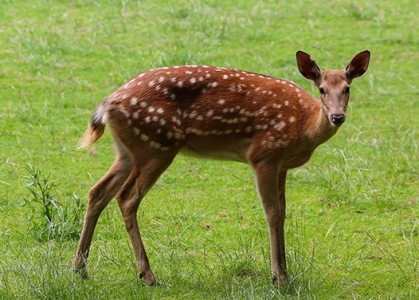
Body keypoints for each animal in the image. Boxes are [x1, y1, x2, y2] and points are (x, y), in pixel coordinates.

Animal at [73, 49, 370, 286]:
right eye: (321, 89)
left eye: (347, 88)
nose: (337, 116)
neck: (303, 127)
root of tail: (108, 103)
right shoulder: (263, 155)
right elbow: (272, 214)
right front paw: (279, 277)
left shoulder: (282, 165)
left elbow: (283, 213)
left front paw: (284, 272)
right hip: (157, 146)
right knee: (126, 197)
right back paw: (147, 275)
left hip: (127, 151)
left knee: (97, 191)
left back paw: (80, 269)